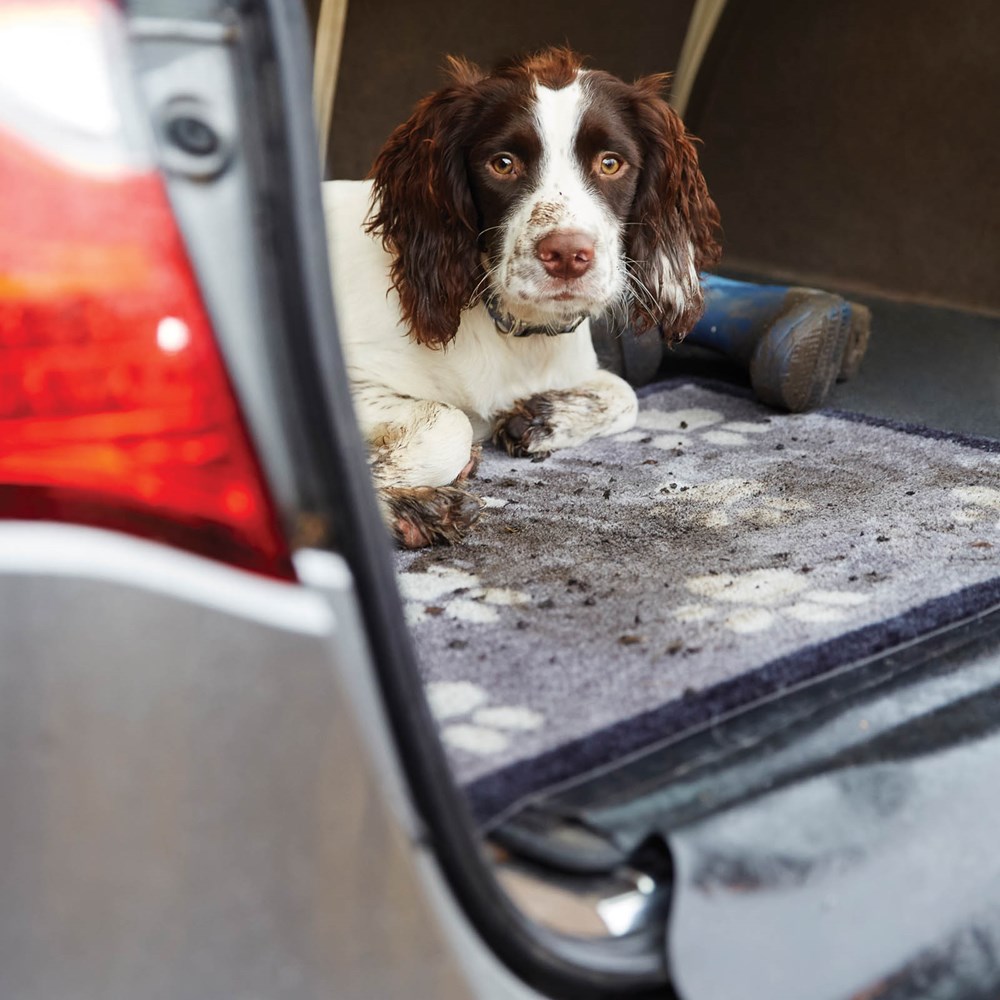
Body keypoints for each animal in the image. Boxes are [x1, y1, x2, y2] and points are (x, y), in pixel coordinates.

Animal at [324, 47, 724, 548]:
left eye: (611, 163)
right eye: (503, 163)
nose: (568, 255)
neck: (512, 330)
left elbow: (625, 393)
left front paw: (541, 416)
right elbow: (447, 423)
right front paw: (402, 500)